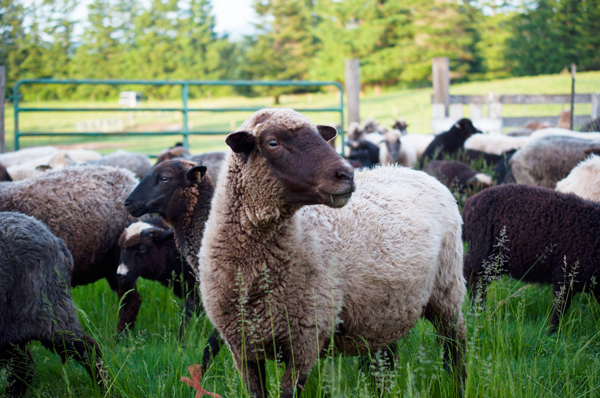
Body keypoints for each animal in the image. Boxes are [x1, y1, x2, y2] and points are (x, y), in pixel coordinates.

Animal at [199, 108, 466, 398]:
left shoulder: (304, 340)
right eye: (272, 143)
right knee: (386, 359)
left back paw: (458, 384)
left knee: (455, 343)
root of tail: (414, 171)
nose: (347, 175)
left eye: (320, 135)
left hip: (447, 288)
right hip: (385, 310)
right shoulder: (243, 348)